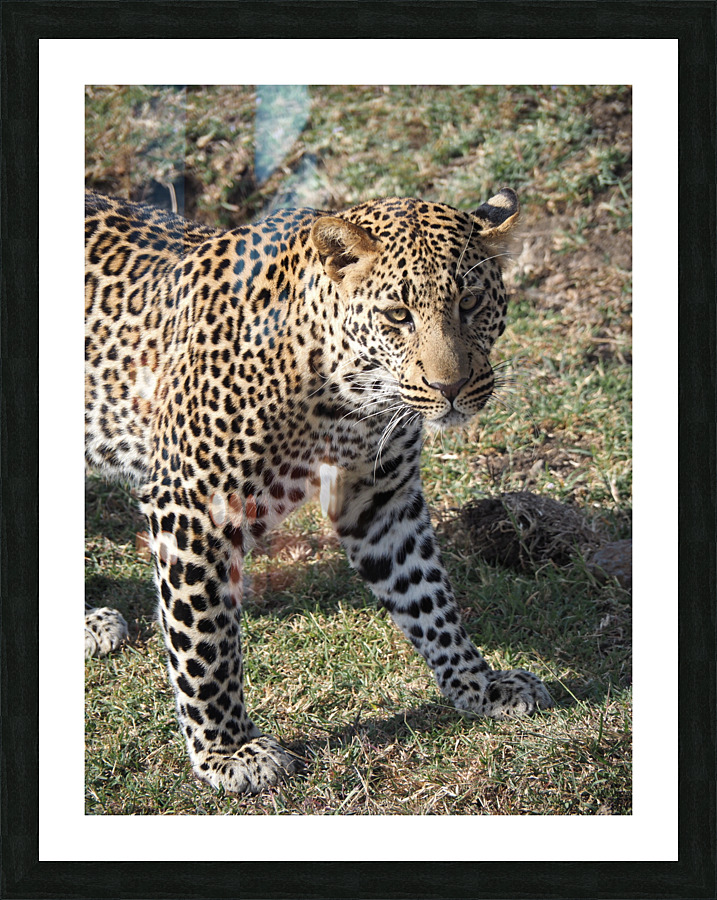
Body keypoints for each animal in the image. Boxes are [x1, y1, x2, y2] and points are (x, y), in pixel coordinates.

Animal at [85, 187, 553, 794]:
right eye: (397, 315)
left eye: (470, 303)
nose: (450, 388)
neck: (347, 397)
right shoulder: (192, 507)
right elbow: (205, 639)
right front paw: (227, 751)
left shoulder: (380, 501)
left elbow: (427, 595)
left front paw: (479, 684)